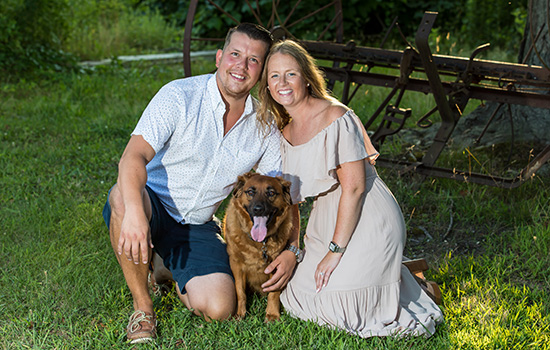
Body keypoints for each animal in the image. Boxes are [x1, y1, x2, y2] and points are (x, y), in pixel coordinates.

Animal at [224, 171, 296, 322]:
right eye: (251, 192)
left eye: (271, 193)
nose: (258, 209)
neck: (259, 243)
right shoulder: (236, 264)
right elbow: (240, 291)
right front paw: (240, 314)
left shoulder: (277, 267)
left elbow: (273, 293)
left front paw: (272, 314)